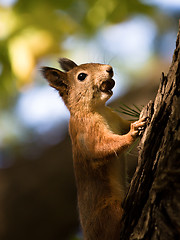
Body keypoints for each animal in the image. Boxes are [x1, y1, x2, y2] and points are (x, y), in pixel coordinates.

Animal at [41, 58, 146, 240]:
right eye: (81, 76)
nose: (109, 69)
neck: (98, 109)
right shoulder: (88, 132)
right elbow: (103, 147)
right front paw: (133, 132)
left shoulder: (117, 121)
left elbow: (124, 126)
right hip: (109, 211)